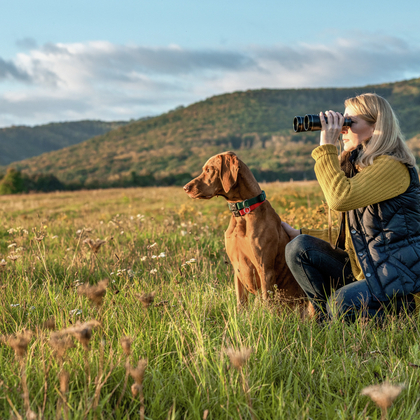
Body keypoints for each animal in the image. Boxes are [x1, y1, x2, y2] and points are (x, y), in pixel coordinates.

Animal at [184, 152, 306, 308]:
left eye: (209, 170)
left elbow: (267, 303)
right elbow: (240, 303)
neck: (242, 212)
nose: (185, 188)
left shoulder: (265, 270)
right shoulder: (237, 269)